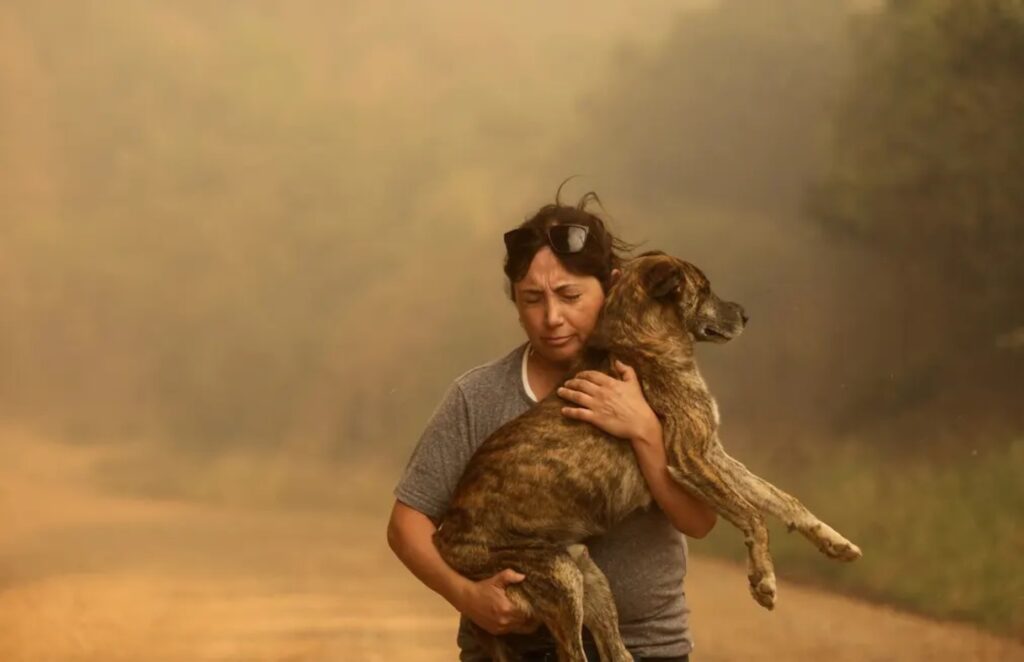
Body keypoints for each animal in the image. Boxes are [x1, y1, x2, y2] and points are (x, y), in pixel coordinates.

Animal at [434, 253, 864, 662]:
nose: (746, 315)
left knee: (617, 652)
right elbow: (754, 515)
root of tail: (444, 540)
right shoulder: (690, 458)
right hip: (559, 579)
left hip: (589, 579)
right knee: (575, 654)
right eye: (704, 289)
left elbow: (781, 499)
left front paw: (835, 542)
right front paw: (763, 580)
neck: (642, 342)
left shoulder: (713, 451)